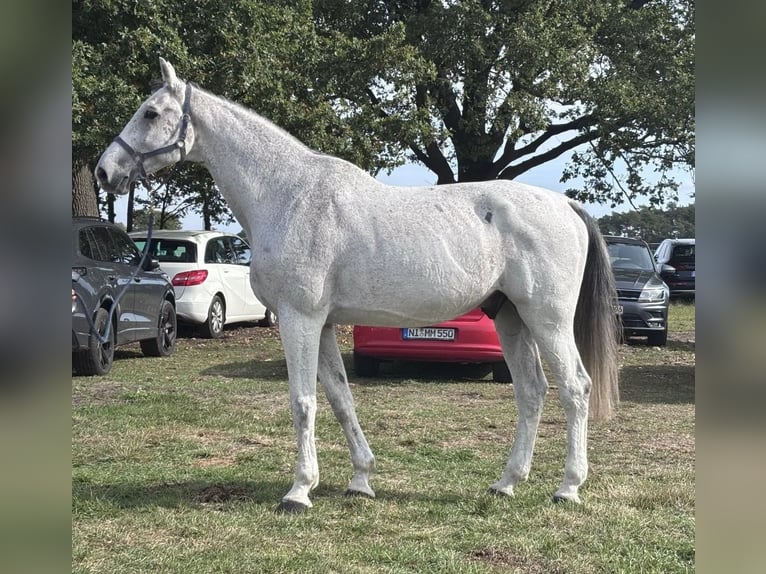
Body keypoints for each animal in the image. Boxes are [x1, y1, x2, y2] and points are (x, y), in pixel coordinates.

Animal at [95, 58, 619, 513]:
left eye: (150, 112)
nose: (105, 171)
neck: (288, 195)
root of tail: (565, 205)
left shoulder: (299, 319)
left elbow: (302, 401)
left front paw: (298, 492)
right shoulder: (324, 325)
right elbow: (340, 399)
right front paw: (360, 480)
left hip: (547, 319)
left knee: (575, 387)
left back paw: (568, 488)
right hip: (510, 316)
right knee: (531, 391)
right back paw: (506, 483)